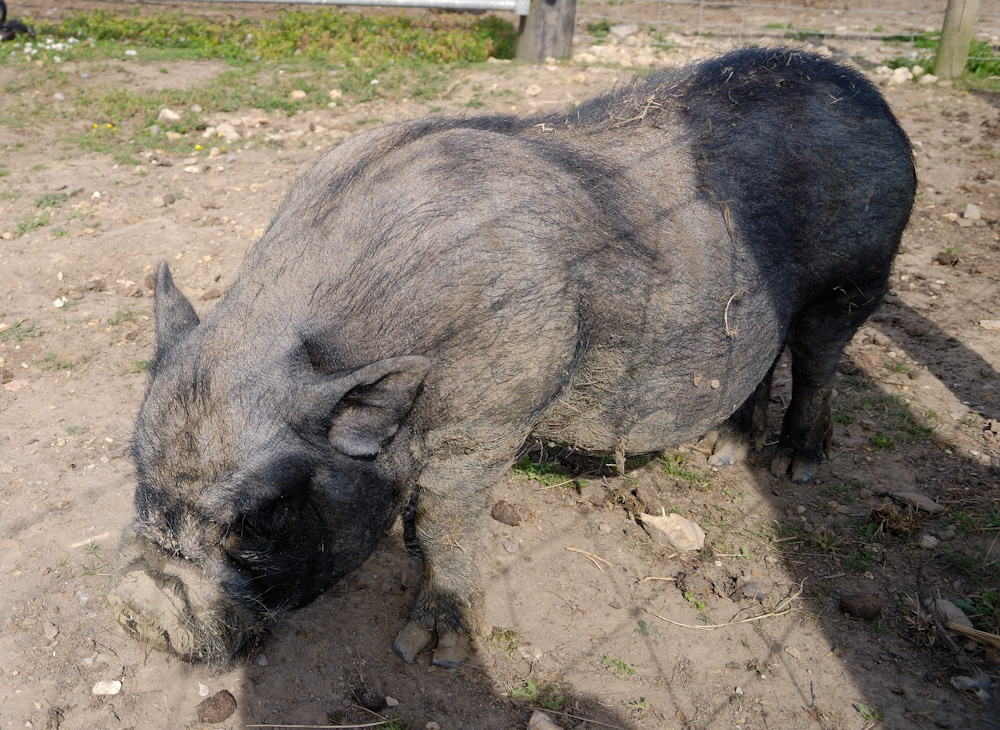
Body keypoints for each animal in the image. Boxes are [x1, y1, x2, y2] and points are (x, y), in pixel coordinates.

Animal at [109, 45, 916, 664]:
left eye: (267, 513)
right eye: (138, 471)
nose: (143, 605)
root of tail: (864, 91)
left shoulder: (493, 414)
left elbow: (446, 523)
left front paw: (429, 653)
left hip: (858, 278)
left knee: (818, 358)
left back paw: (795, 467)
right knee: (763, 357)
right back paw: (723, 454)